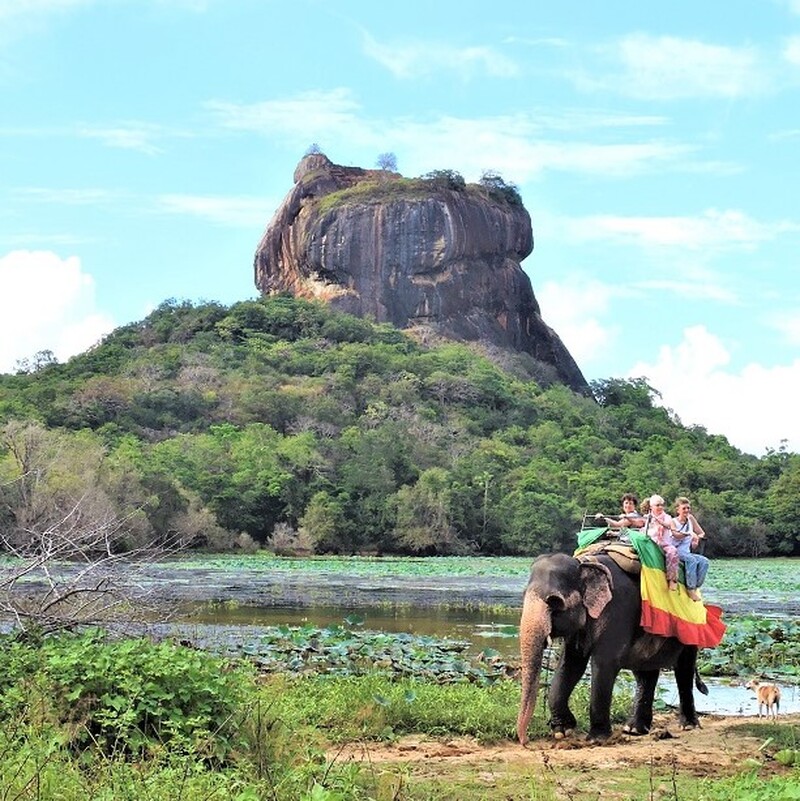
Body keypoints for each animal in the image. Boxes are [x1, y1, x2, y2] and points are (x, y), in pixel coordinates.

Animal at [520, 552, 700, 744]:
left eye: (555, 602)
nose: (525, 741)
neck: (584, 564)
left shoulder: (618, 610)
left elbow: (603, 663)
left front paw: (597, 739)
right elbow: (570, 664)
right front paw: (563, 731)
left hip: (690, 627)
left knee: (684, 668)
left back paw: (688, 725)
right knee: (645, 673)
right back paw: (634, 729)